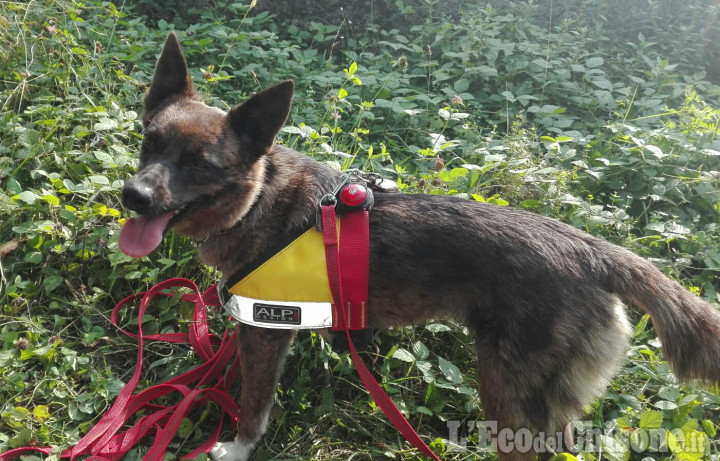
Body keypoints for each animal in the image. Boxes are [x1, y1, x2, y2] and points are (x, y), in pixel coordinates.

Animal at [118, 30, 720, 458]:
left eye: (200, 164)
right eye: (151, 141)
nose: (133, 196)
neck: (259, 197)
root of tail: (593, 250)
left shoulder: (265, 332)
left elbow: (253, 405)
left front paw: (238, 447)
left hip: (507, 396)